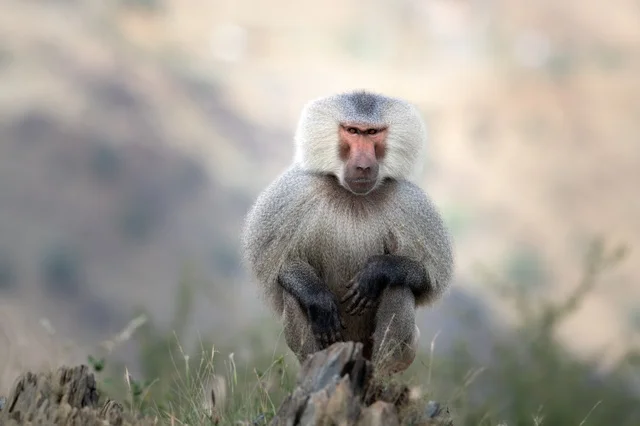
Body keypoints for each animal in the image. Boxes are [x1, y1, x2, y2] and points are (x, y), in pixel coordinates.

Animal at [241, 90, 454, 375]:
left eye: (372, 132)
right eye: (352, 131)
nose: (363, 166)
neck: (352, 196)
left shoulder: (411, 204)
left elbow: (427, 279)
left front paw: (377, 271)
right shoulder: (292, 193)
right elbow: (280, 267)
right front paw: (318, 298)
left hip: (403, 350)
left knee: (399, 286)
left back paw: (378, 375)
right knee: (293, 296)